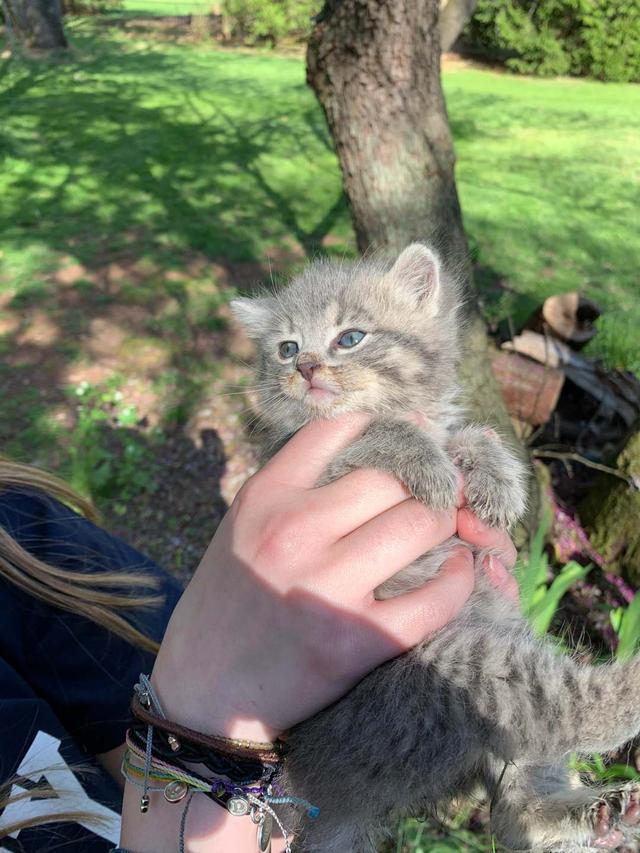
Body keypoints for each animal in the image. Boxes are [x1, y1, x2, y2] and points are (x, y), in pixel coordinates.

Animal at [230, 241, 640, 852]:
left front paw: (496, 476)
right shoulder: (308, 464)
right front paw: (429, 462)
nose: (305, 368)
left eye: (350, 337)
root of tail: (324, 786)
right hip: (458, 671)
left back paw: (600, 813)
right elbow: (375, 433)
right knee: (557, 715)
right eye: (287, 349)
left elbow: (462, 434)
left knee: (516, 812)